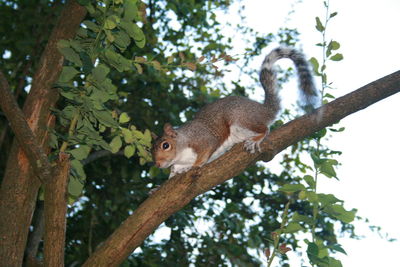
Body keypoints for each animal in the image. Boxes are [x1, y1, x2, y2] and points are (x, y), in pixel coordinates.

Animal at [152, 47, 318, 178]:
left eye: (165, 145)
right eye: (150, 149)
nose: (158, 165)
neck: (181, 152)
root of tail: (265, 110)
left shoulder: (203, 139)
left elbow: (205, 152)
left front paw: (195, 166)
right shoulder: (178, 164)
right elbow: (174, 173)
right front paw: (157, 188)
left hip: (242, 119)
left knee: (265, 128)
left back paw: (256, 139)